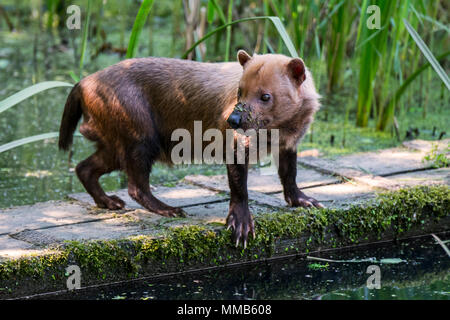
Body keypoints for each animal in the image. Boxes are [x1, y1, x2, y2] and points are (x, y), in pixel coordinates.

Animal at [59, 50, 324, 246]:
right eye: (240, 91)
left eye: (266, 96)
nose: (234, 119)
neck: (279, 131)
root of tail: (83, 82)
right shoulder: (236, 144)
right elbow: (239, 186)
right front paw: (241, 225)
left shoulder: (289, 144)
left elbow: (289, 174)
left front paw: (306, 201)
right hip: (140, 135)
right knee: (135, 186)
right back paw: (169, 209)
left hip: (115, 142)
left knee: (84, 167)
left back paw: (109, 201)